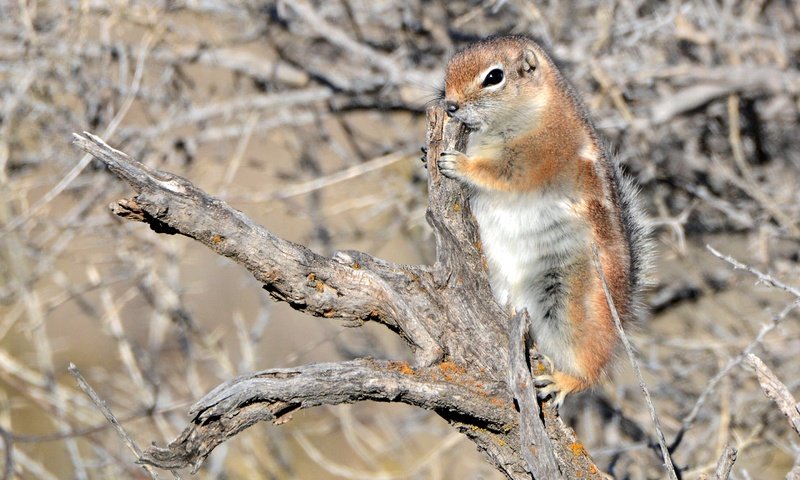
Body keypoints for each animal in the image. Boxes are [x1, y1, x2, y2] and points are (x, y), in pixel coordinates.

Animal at [434, 35, 648, 406]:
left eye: (493, 77)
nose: (450, 105)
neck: (538, 111)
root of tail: (622, 312)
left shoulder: (536, 159)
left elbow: (499, 175)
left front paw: (459, 164)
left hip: (571, 305)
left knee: (592, 367)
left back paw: (564, 381)